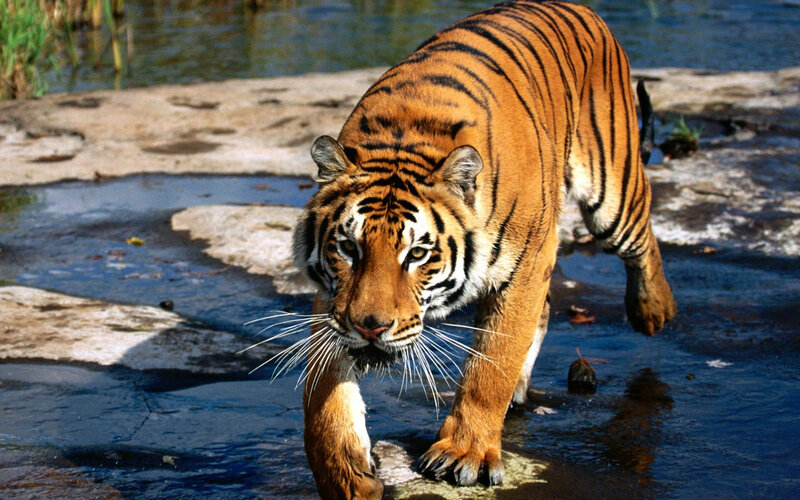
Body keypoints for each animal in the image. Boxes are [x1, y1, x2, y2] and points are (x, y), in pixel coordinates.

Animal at [291, 0, 676, 497]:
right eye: (348, 247)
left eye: (417, 254)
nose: (370, 328)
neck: (406, 137)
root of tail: (582, 9)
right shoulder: (335, 299)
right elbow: (323, 396)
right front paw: (346, 474)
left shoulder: (526, 264)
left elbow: (492, 364)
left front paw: (466, 454)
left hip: (611, 188)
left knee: (641, 235)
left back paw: (653, 309)